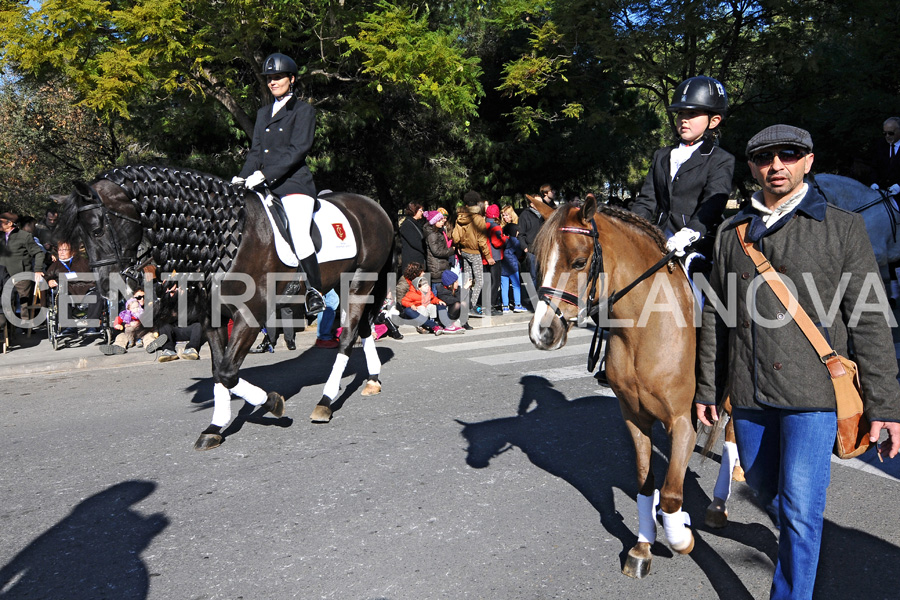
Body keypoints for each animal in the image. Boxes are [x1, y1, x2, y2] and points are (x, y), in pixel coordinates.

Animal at [55, 164, 394, 450]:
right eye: (83, 235)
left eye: (97, 229)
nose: (105, 287)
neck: (229, 235)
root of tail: (375, 207)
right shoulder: (213, 316)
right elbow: (219, 370)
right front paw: (215, 427)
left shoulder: (250, 316)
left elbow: (228, 372)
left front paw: (269, 402)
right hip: (348, 285)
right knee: (364, 329)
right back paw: (373, 380)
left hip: (359, 283)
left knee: (347, 337)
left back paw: (325, 400)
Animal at [532, 195, 700, 580]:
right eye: (539, 261)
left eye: (579, 262)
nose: (541, 333)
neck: (646, 327)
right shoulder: (634, 418)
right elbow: (646, 484)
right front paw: (642, 547)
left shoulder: (683, 421)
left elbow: (671, 492)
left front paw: (681, 537)